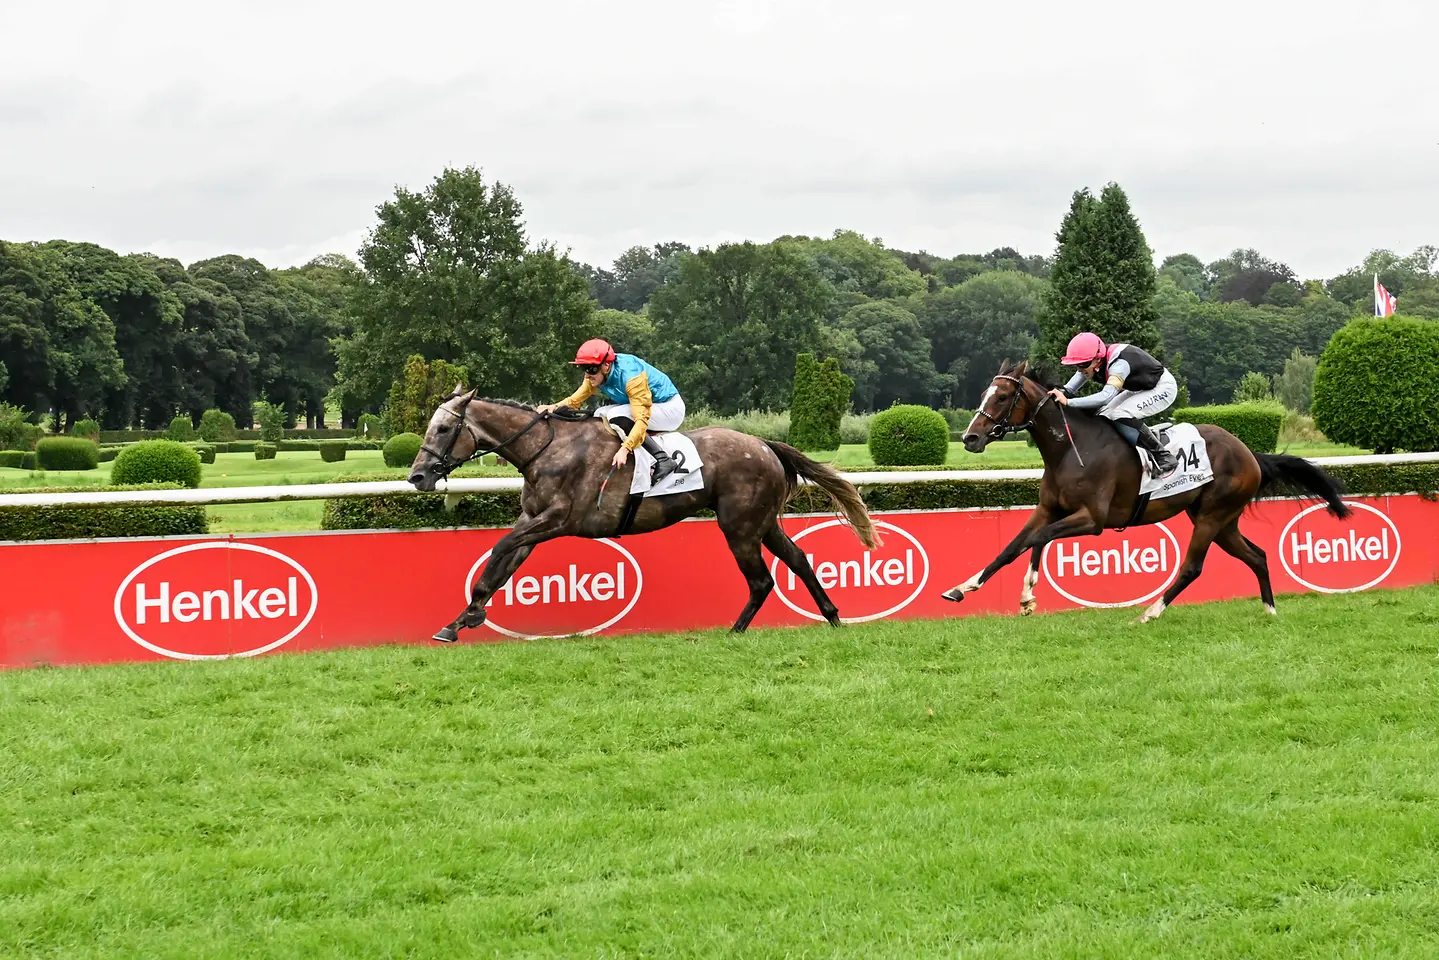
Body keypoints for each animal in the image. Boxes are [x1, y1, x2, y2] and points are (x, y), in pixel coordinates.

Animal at [405, 385, 874, 641]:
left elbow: (498, 549)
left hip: (739, 526)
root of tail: (764, 444)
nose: (417, 476)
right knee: (797, 559)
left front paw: (471, 614)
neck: (547, 450)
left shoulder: (558, 520)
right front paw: (459, 620)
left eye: (443, 428)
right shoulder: (532, 521)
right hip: (760, 523)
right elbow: (499, 567)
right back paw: (832, 617)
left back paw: (735, 631)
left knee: (762, 580)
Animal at [938, 359, 1352, 624]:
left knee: (1192, 567)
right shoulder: (1049, 509)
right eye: (984, 393)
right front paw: (965, 588)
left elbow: (1038, 539)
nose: (970, 438)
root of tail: (1249, 452)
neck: (1071, 448)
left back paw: (1150, 612)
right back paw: (1269, 610)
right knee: (1258, 556)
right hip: (1222, 520)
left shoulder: (1093, 520)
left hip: (1212, 516)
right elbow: (1015, 545)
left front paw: (1026, 594)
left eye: (1002, 397)